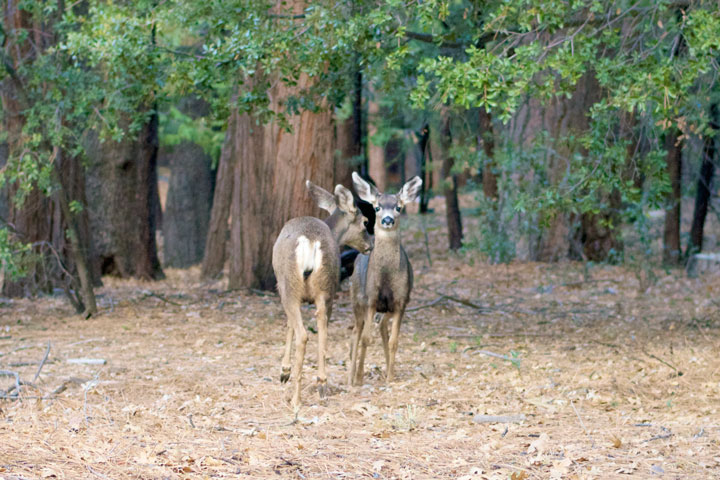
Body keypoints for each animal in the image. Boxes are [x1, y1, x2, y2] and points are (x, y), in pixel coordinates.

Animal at [270, 180, 372, 412]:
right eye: (365, 222)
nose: (370, 246)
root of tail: (310, 241)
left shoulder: (283, 289)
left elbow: (289, 325)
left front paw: (284, 371)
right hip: (326, 288)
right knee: (323, 331)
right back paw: (322, 385)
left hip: (290, 286)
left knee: (303, 334)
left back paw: (296, 398)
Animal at [348, 172, 422, 386]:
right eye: (377, 207)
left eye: (398, 207)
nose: (388, 220)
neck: (387, 278)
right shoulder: (371, 298)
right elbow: (366, 339)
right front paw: (359, 378)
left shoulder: (401, 301)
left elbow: (394, 341)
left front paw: (390, 376)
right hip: (357, 300)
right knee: (355, 334)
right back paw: (351, 376)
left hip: (386, 308)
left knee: (381, 326)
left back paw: (389, 370)